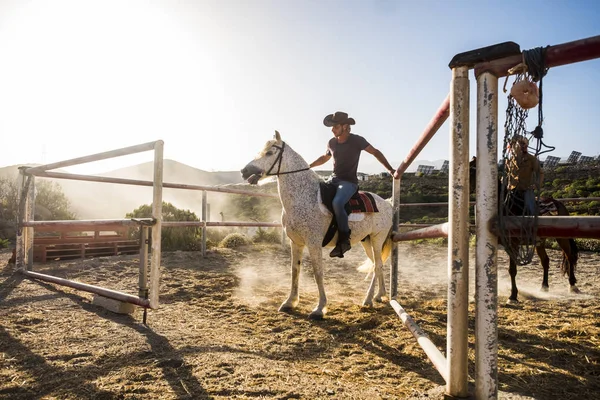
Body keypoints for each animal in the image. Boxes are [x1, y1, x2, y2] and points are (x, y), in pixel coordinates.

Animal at [239, 131, 394, 318]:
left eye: (269, 152)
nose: (244, 171)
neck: (305, 195)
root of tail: (387, 203)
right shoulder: (296, 242)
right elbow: (294, 270)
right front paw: (290, 302)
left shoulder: (313, 243)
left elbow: (317, 273)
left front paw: (320, 308)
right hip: (367, 241)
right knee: (376, 266)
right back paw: (380, 295)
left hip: (377, 239)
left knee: (377, 265)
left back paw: (368, 299)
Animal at [468, 158, 576, 302]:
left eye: (471, 171)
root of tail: (558, 203)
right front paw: (476, 295)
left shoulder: (513, 244)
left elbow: (512, 270)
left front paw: (513, 295)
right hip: (540, 242)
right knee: (545, 261)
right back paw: (544, 287)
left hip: (562, 238)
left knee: (569, 257)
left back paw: (573, 285)